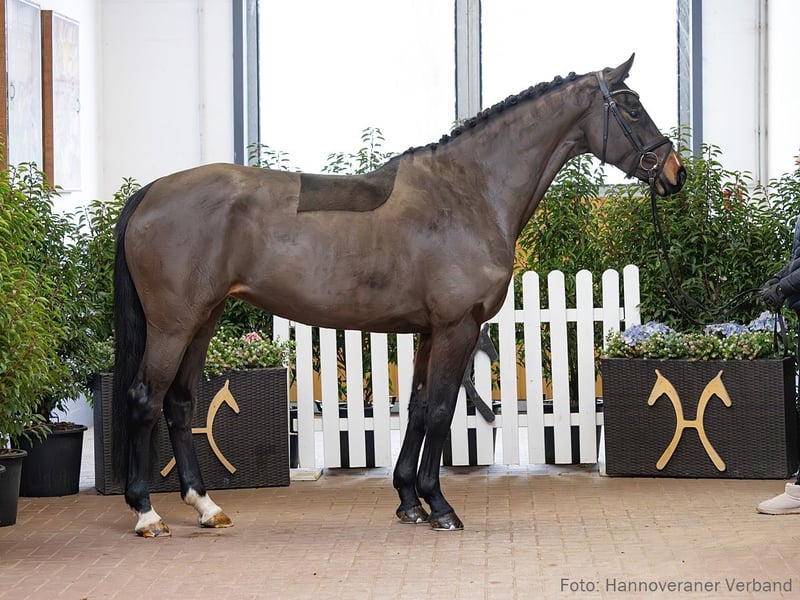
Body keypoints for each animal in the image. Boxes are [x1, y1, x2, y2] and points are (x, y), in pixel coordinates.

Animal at [112, 54, 686, 537]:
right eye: (633, 108)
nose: (674, 174)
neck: (468, 193)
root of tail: (152, 191)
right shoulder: (457, 328)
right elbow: (441, 411)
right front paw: (441, 506)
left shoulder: (431, 333)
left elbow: (416, 407)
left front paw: (410, 501)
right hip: (174, 325)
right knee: (145, 399)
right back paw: (146, 513)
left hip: (203, 320)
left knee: (180, 403)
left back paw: (205, 506)